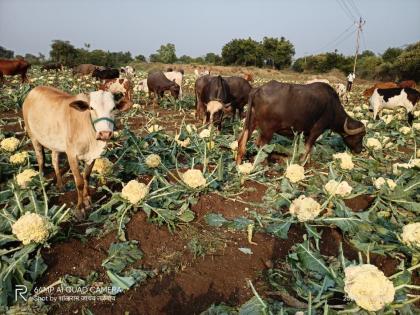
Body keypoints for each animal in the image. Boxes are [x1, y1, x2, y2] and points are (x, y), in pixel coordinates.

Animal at [21, 86, 129, 220]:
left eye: (113, 108)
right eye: (91, 108)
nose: (104, 134)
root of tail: (34, 90)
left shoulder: (92, 156)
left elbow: (86, 176)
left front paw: (87, 199)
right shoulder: (72, 155)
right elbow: (79, 182)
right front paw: (80, 208)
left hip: (55, 143)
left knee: (54, 160)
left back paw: (60, 185)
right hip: (33, 136)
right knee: (41, 159)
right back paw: (42, 181)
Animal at [235, 81, 366, 164]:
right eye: (360, 136)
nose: (359, 150)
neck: (332, 107)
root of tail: (257, 90)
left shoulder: (306, 132)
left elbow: (307, 148)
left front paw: (308, 161)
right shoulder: (316, 130)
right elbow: (308, 147)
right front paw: (302, 162)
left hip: (251, 124)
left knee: (242, 141)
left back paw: (239, 163)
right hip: (267, 131)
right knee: (261, 145)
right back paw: (265, 162)